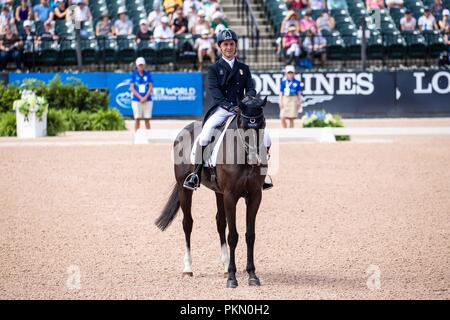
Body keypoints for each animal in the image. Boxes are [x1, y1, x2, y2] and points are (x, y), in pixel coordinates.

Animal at [156, 95, 268, 288]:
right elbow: (233, 236)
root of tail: (185, 129)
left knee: (220, 222)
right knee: (187, 223)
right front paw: (232, 279)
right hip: (185, 189)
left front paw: (252, 275)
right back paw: (188, 268)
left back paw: (224, 266)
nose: (256, 160)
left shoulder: (254, 196)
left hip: (219, 192)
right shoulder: (230, 196)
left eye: (262, 124)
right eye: (243, 125)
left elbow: (250, 235)